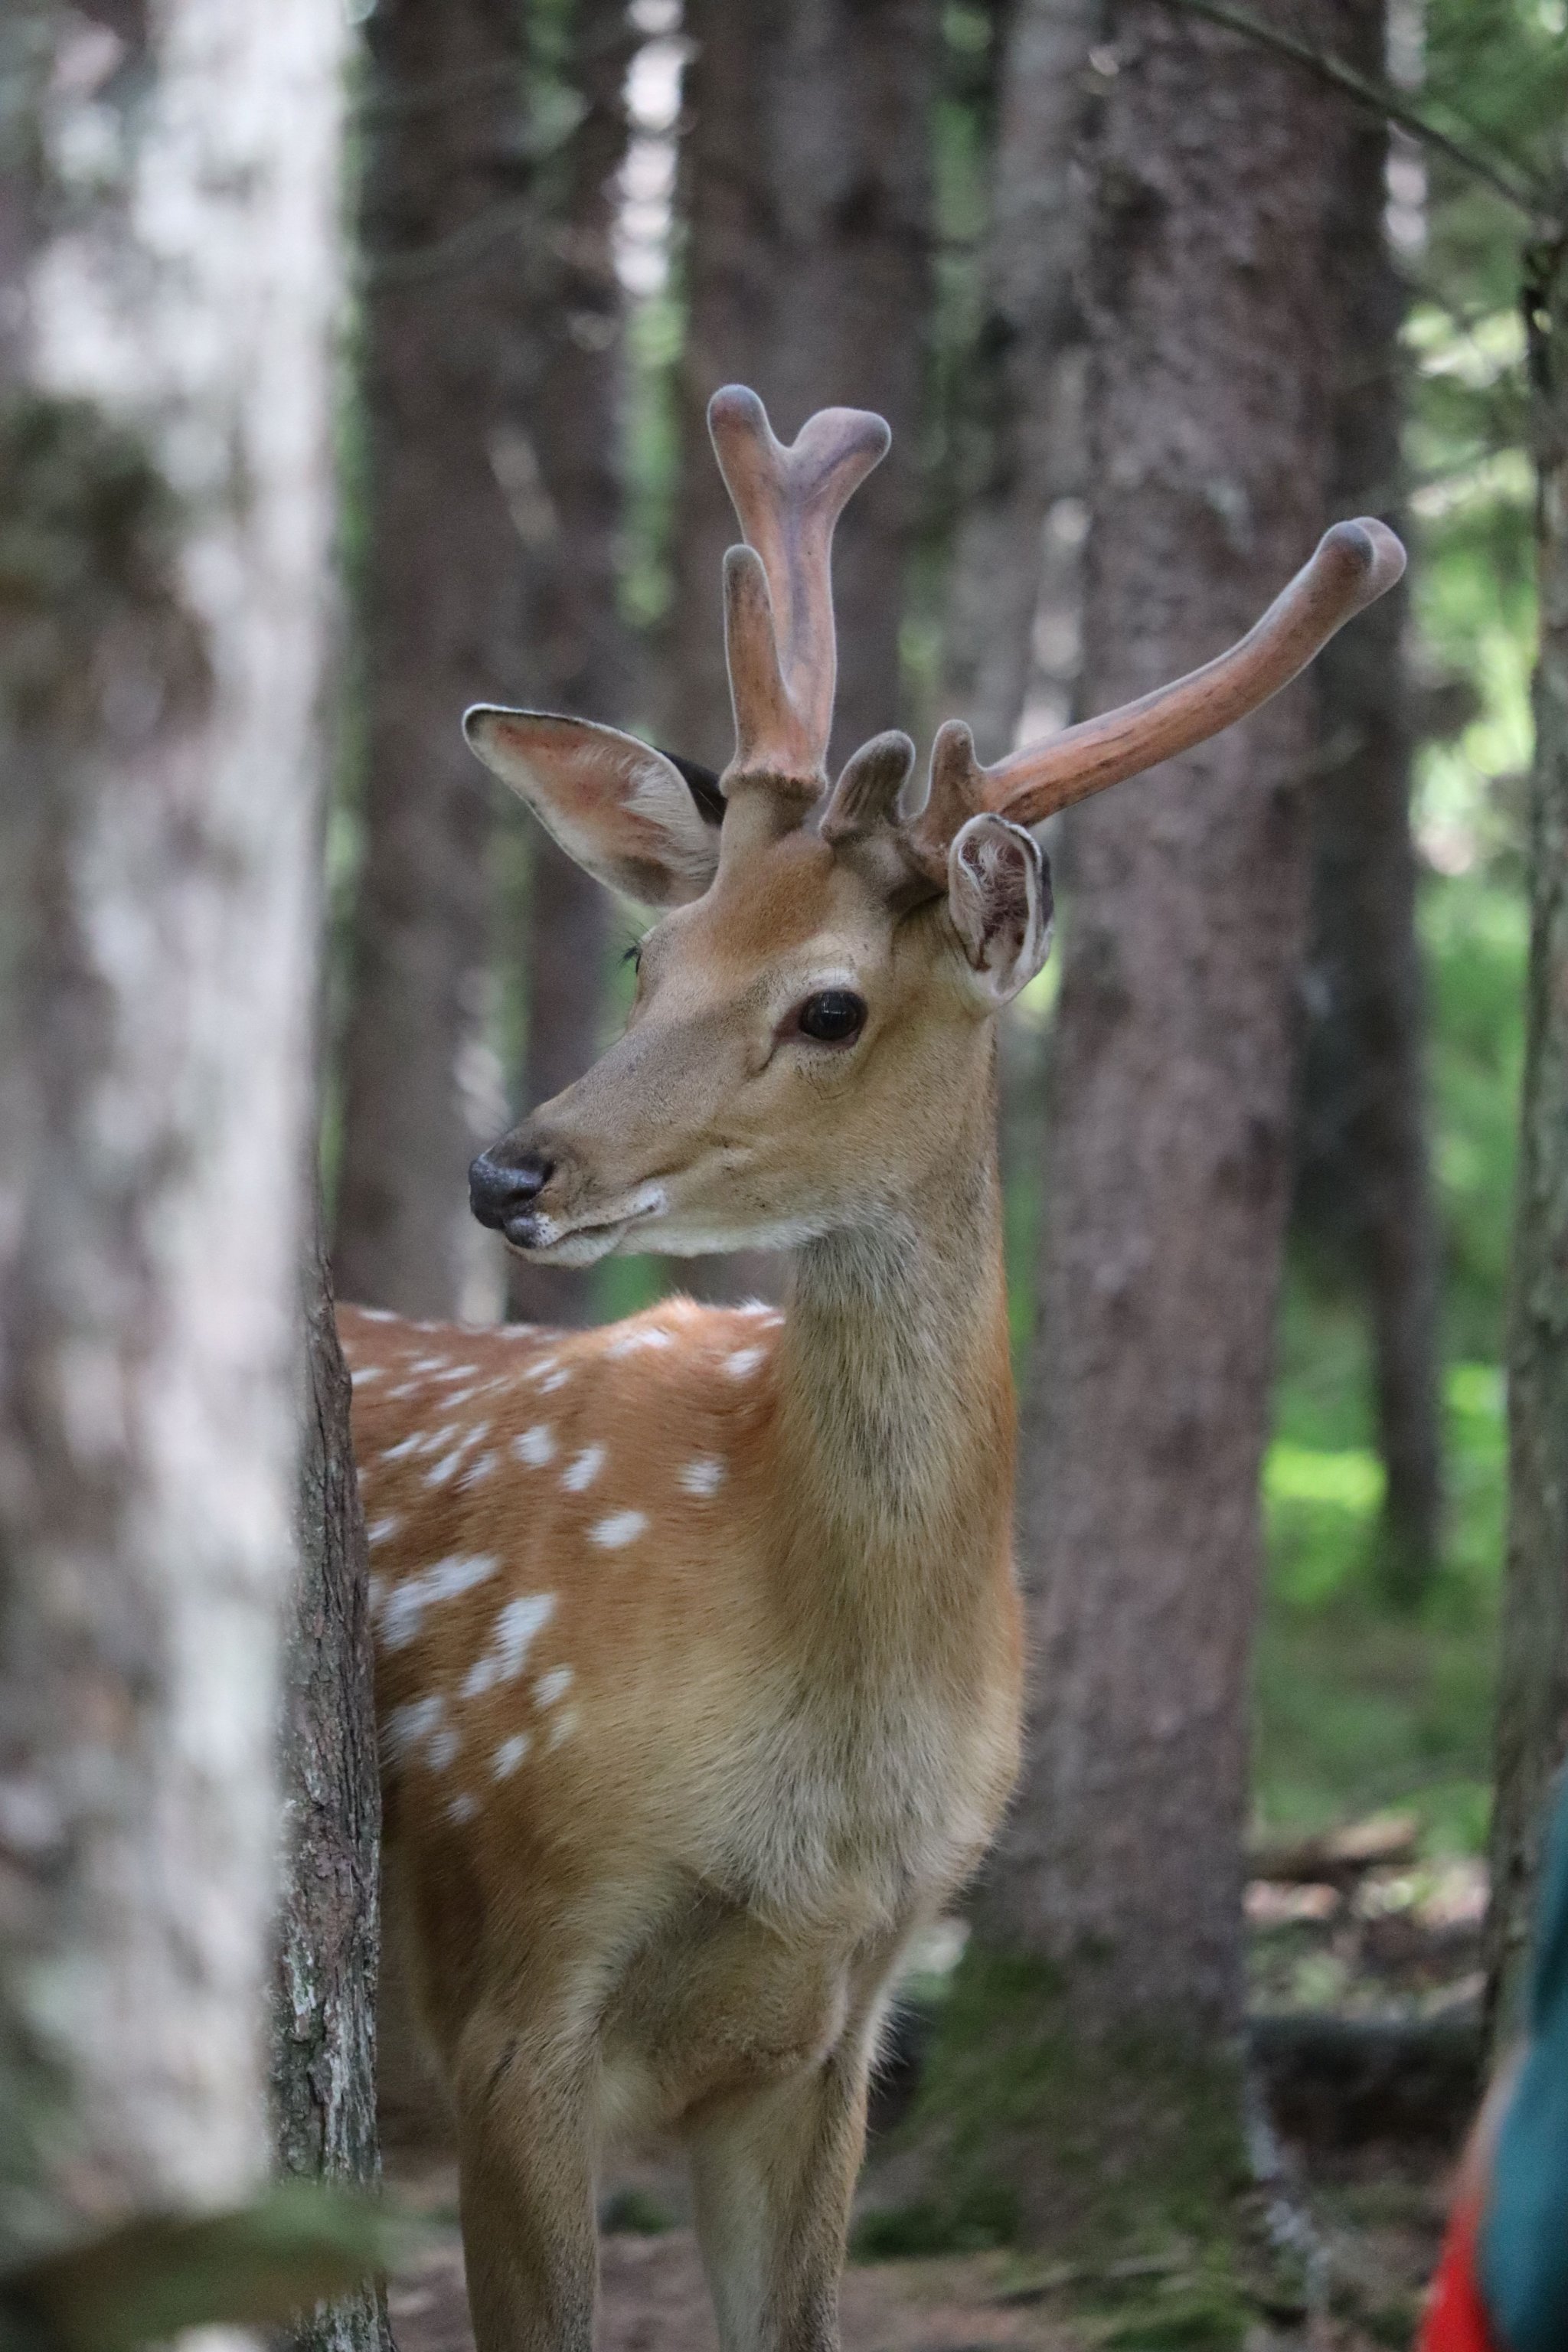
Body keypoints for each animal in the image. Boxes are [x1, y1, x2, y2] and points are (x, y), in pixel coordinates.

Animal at [343, 390, 1410, 2352]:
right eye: (652, 949)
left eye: (828, 1005)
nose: (508, 1173)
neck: (829, 1764)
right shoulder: (516, 1963)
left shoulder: (841, 2021)